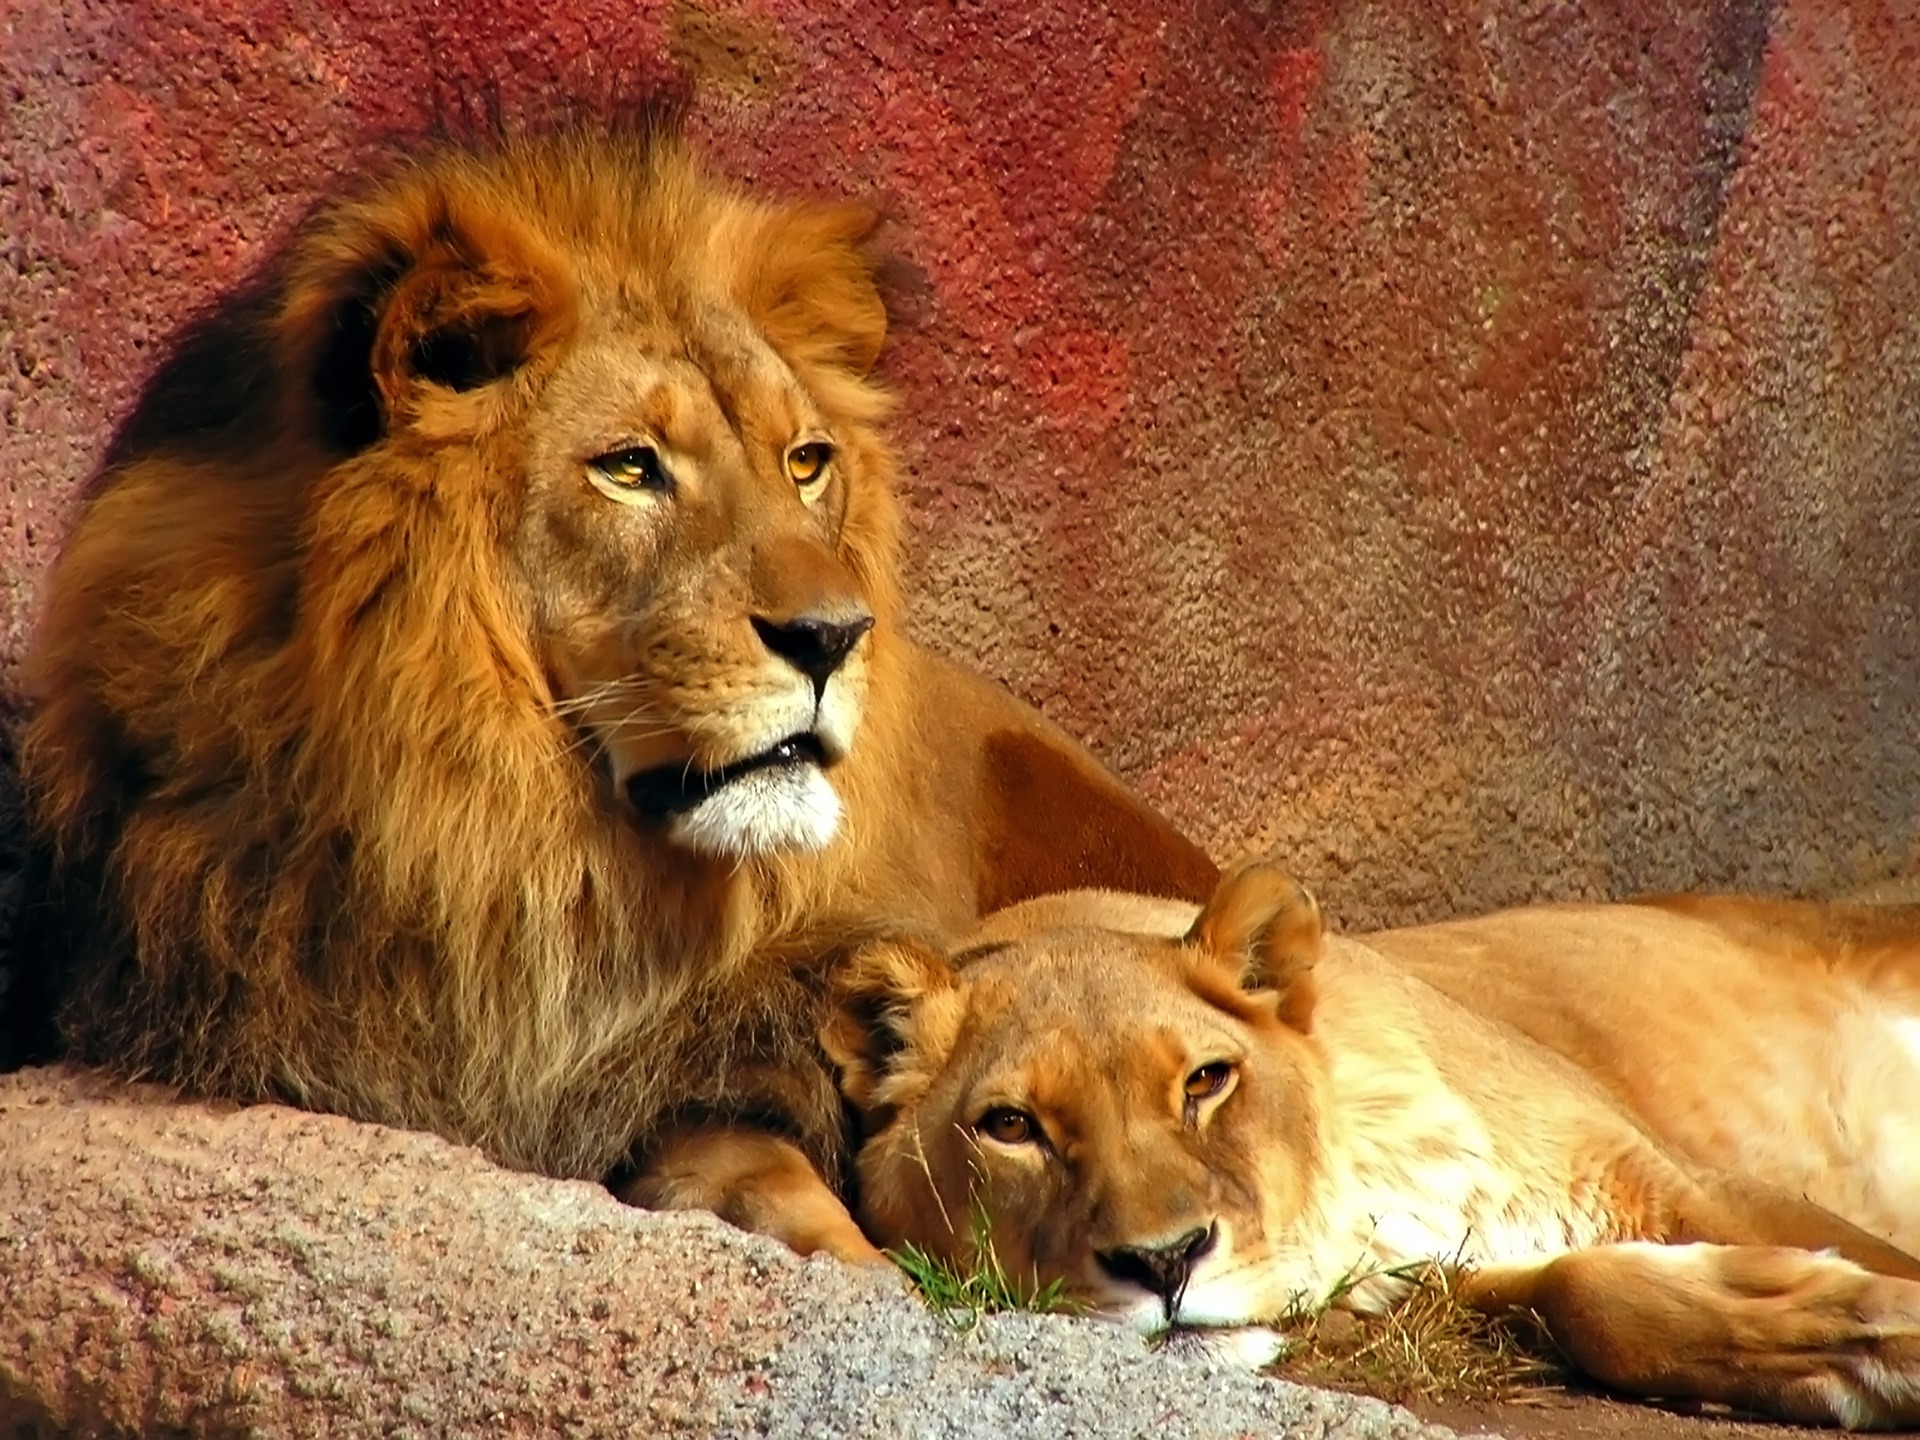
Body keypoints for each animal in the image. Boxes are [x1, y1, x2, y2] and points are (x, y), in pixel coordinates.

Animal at [833, 864, 1920, 1428]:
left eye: (1205, 1081)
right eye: (1012, 1127)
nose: (1164, 1263)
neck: (1373, 1173)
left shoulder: (1678, 1175)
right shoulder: (1449, 1277)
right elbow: (1586, 1296)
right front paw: (1853, 1337)